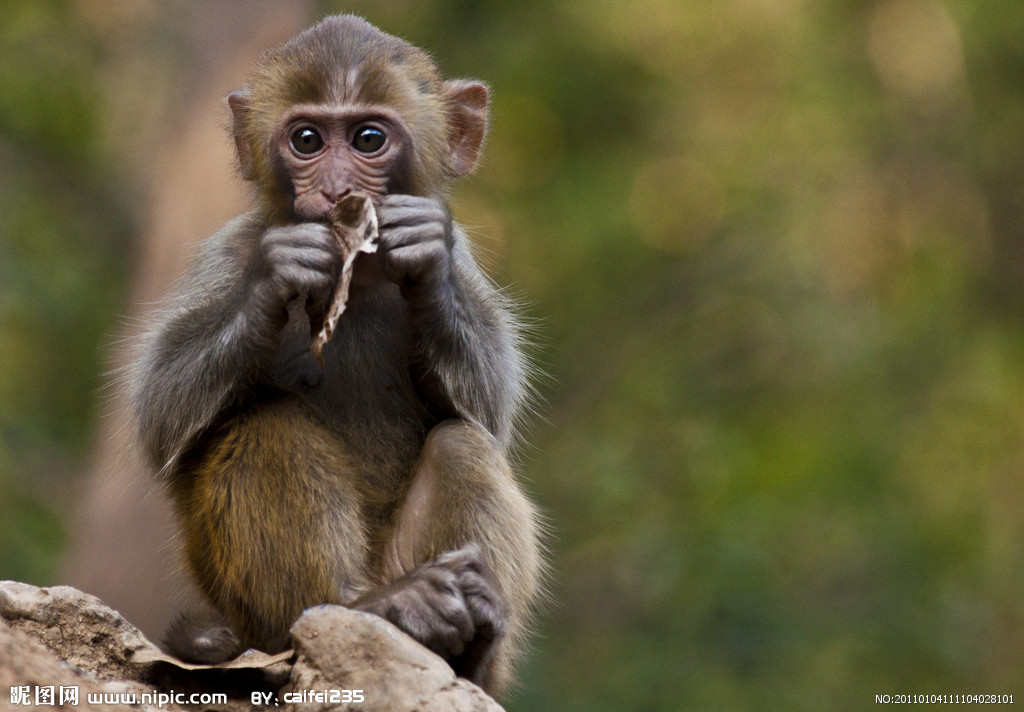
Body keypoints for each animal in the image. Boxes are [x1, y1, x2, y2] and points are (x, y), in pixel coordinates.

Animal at [133, 15, 548, 696]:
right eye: (307, 139)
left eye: (368, 138)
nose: (335, 190)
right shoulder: (228, 253)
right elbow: (161, 415)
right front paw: (277, 277)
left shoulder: (467, 264)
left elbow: (489, 414)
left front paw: (425, 255)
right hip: (259, 619)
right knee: (261, 421)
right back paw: (363, 607)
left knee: (461, 442)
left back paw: (467, 646)